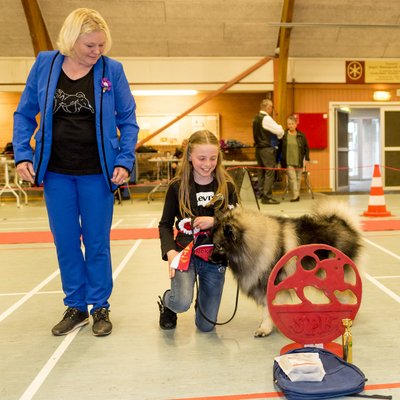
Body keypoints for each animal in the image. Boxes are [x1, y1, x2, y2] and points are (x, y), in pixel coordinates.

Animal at [212, 200, 362, 338]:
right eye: (214, 244)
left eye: (218, 246)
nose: (210, 258)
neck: (257, 244)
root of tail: (343, 223)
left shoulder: (269, 287)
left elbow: (268, 310)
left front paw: (264, 328)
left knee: (349, 296)